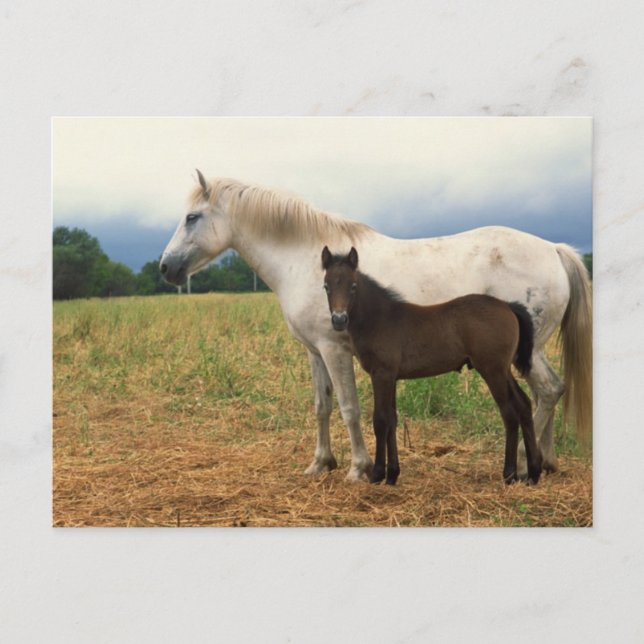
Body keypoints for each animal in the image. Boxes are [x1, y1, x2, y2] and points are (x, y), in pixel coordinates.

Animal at [321, 246, 542, 486]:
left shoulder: (381, 374)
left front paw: (378, 474)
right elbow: (392, 419)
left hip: (493, 370)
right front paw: (392, 475)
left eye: (353, 286)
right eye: (326, 286)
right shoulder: (392, 377)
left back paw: (509, 473)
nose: (339, 320)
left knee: (509, 412)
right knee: (524, 404)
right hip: (504, 369)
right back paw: (533, 472)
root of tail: (508, 306)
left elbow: (380, 420)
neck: (380, 319)